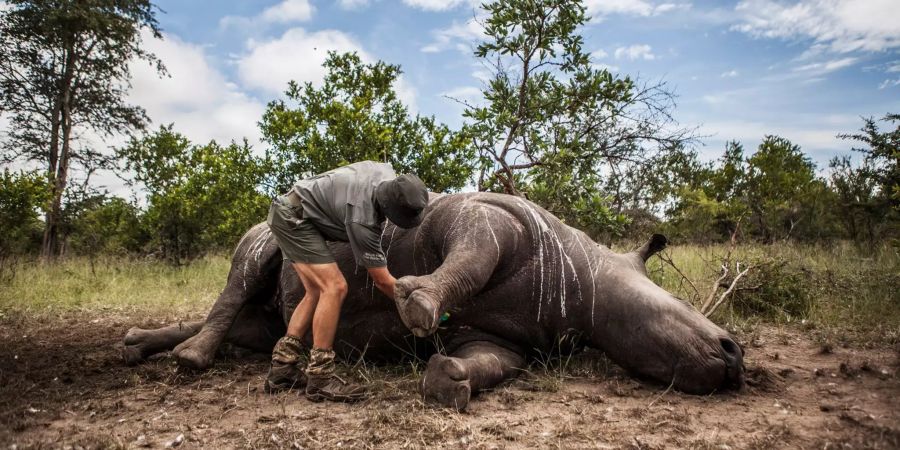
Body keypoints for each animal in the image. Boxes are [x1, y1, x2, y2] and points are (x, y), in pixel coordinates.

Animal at [125, 192, 744, 410]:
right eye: (683, 310)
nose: (734, 355)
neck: (589, 272)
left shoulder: (509, 337)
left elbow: (490, 360)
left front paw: (448, 381)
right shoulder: (489, 215)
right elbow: (469, 255)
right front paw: (415, 301)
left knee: (260, 325)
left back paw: (140, 348)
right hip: (270, 226)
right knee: (246, 269)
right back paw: (191, 361)